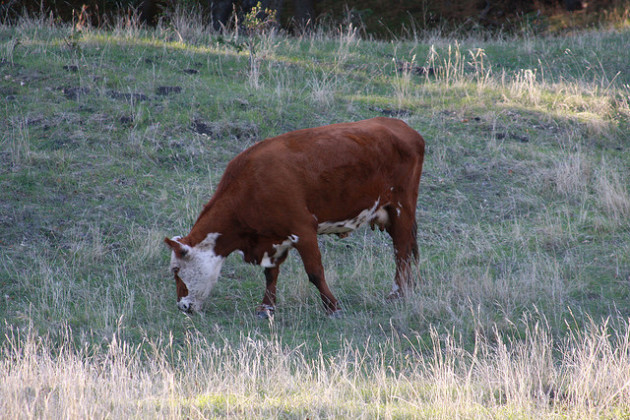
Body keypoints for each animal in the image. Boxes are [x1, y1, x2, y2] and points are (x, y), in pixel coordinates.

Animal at [165, 116, 428, 316]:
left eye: (176, 270)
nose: (182, 307)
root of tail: (399, 125)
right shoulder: (272, 238)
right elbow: (270, 273)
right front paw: (266, 308)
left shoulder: (303, 229)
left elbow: (315, 271)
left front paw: (332, 307)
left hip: (402, 207)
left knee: (401, 252)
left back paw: (396, 294)